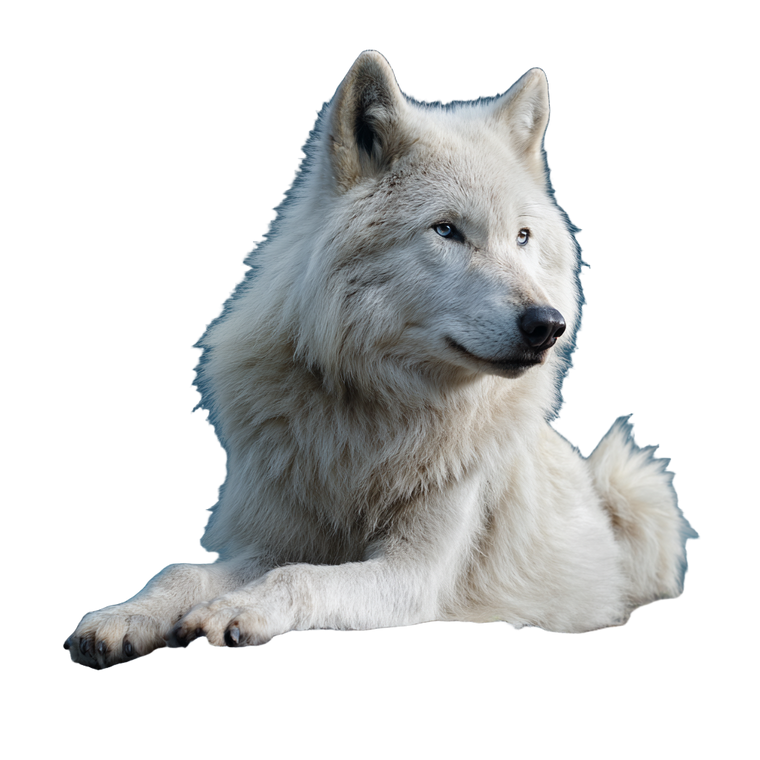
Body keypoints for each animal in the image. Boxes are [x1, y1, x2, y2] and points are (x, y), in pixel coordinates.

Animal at [65, 49, 695, 670]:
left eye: (522, 237)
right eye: (446, 231)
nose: (548, 325)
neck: (375, 415)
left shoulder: (412, 572)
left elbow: (299, 578)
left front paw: (236, 610)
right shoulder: (271, 541)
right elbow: (183, 572)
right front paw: (125, 618)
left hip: (634, 484)